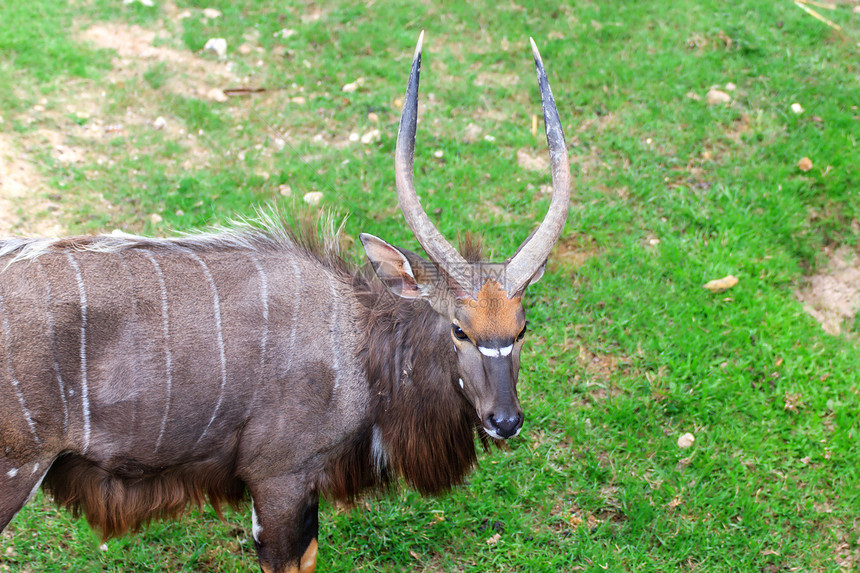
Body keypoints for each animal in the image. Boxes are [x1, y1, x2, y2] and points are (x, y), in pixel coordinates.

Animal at [0, 34, 572, 572]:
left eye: (521, 328)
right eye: (459, 328)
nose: (505, 421)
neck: (357, 342)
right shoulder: (279, 476)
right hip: (16, 470)